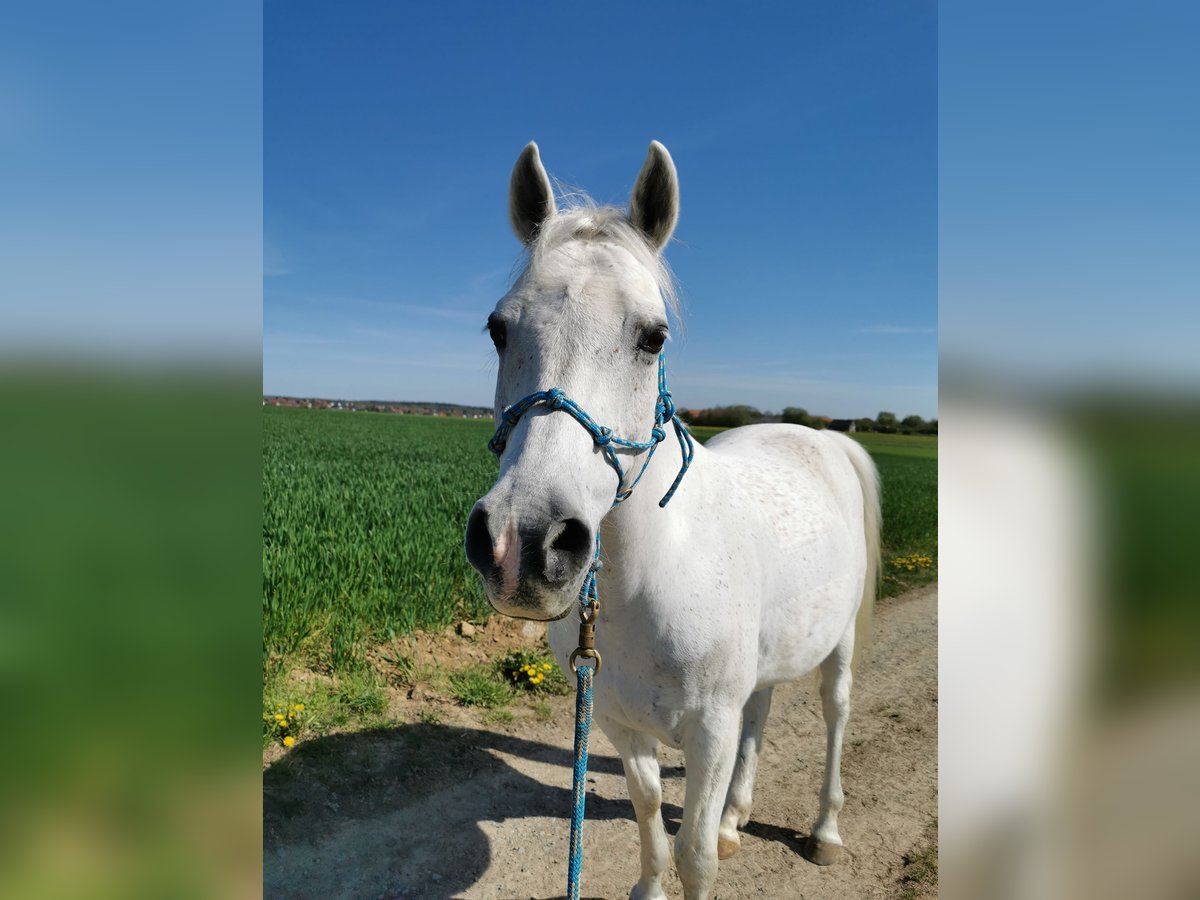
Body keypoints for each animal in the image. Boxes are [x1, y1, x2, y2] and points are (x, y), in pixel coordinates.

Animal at [465, 141, 883, 900]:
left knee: (836, 714)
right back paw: (736, 817)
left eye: (653, 337)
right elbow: (651, 816)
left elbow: (694, 856)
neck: (653, 578)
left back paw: (826, 833)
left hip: (837, 650)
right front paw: (654, 880)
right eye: (498, 328)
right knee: (762, 710)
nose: (524, 544)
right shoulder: (619, 722)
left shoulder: (708, 732)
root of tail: (821, 438)